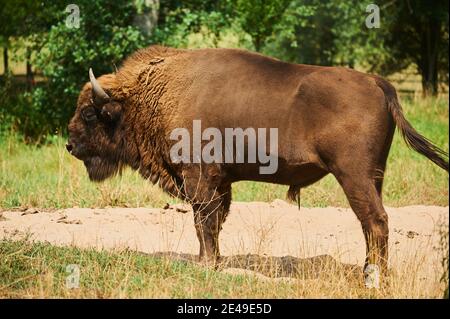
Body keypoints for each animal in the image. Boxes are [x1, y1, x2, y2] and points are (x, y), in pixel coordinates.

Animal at [67, 45, 446, 276]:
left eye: (89, 113)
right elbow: (215, 221)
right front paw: (212, 261)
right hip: (374, 176)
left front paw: (205, 264)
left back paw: (372, 276)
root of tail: (377, 82)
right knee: (374, 223)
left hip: (354, 176)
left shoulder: (198, 178)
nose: (70, 145)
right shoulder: (220, 182)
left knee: (375, 220)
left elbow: (203, 221)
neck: (155, 93)